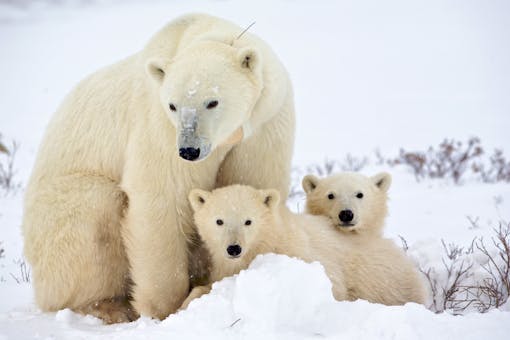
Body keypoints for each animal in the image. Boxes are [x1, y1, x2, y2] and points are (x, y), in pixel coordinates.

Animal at [21, 12, 296, 322]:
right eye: (173, 105)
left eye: (212, 101)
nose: (189, 150)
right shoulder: (159, 124)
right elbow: (162, 196)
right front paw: (166, 308)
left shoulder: (265, 123)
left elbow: (252, 182)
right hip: (57, 217)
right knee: (94, 216)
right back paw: (109, 306)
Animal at [181, 185, 428, 310]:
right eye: (219, 221)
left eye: (248, 221)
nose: (234, 248)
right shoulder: (224, 266)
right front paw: (187, 302)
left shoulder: (302, 256)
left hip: (385, 282)